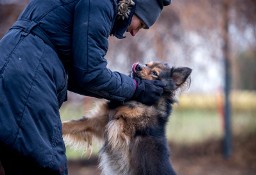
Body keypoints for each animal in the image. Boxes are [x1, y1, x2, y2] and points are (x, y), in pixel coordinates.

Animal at [62, 60, 192, 174]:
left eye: (155, 73)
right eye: (146, 64)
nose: (138, 66)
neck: (139, 100)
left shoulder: (122, 128)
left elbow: (120, 121)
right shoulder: (96, 121)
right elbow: (71, 124)